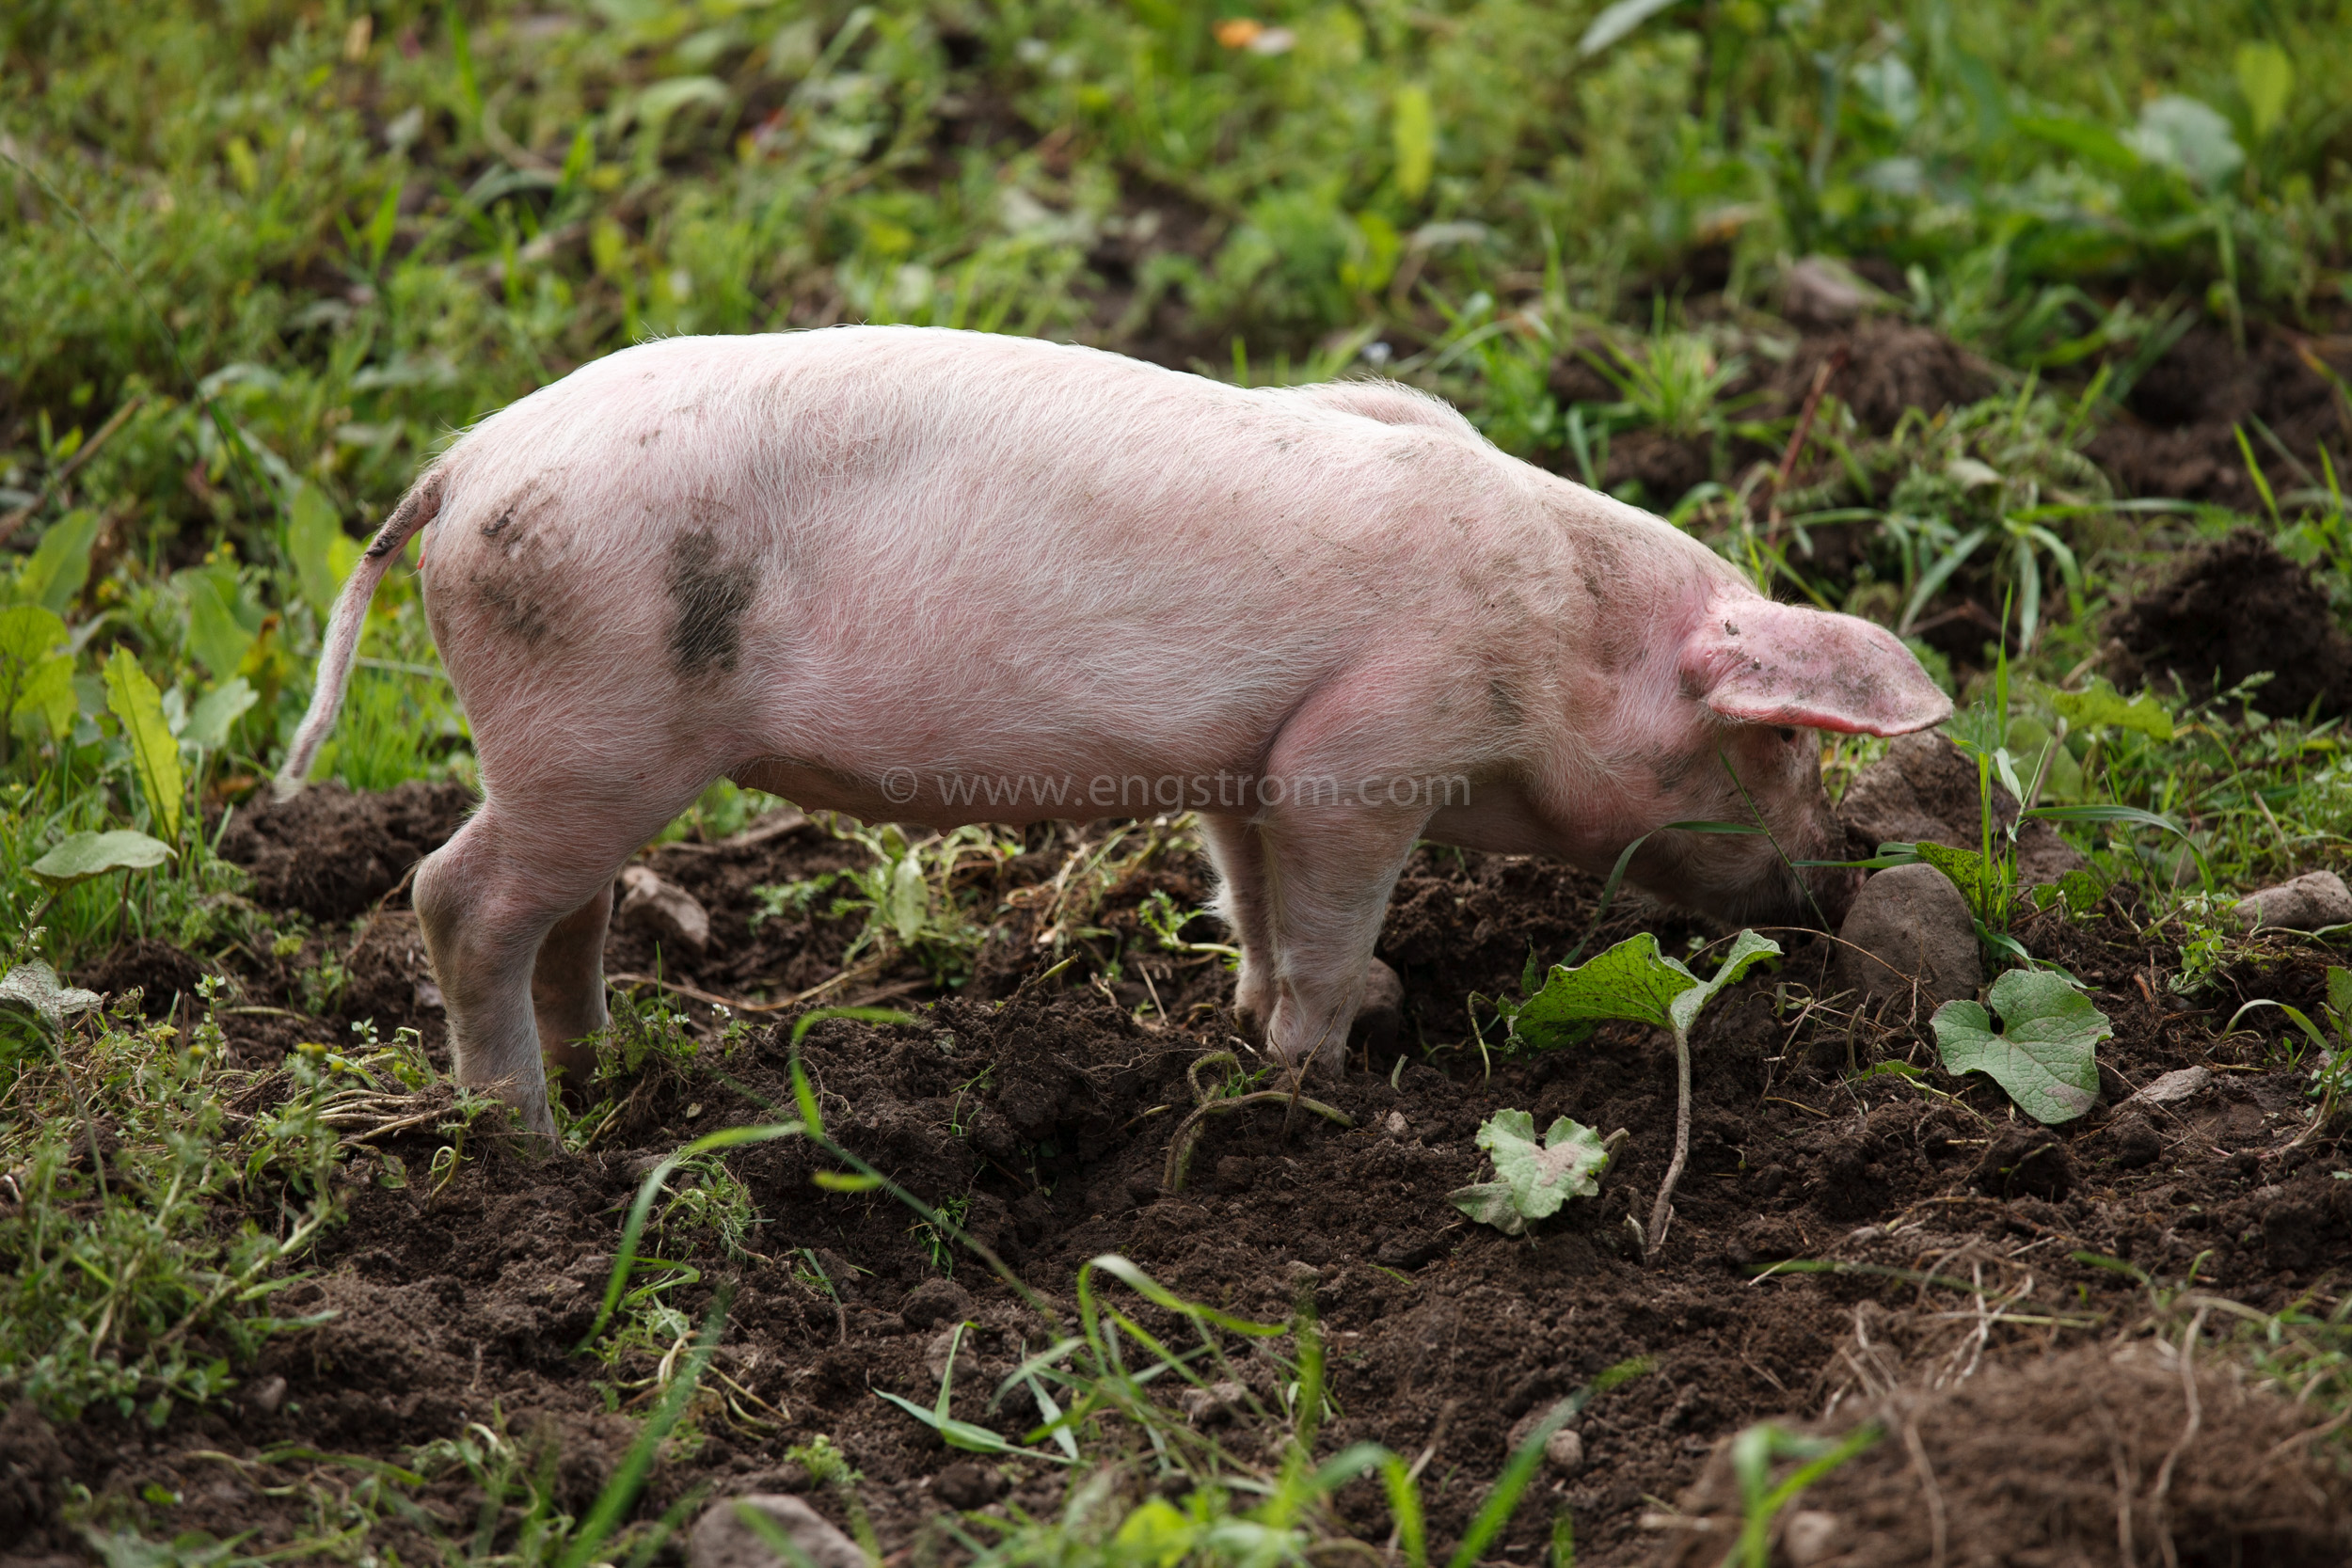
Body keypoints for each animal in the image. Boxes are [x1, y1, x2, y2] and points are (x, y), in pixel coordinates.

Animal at [279, 331, 1947, 1142]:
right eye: (1785, 750)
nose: (1836, 877)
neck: (1559, 631)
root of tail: (460, 468)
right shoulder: (1368, 743)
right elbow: (1322, 912)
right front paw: (1321, 1077)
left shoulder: (1250, 759)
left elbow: (1249, 891)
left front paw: (1314, 1013)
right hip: (589, 722)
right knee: (455, 893)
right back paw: (531, 1137)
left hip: (598, 748)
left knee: (565, 906)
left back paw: (610, 1065)